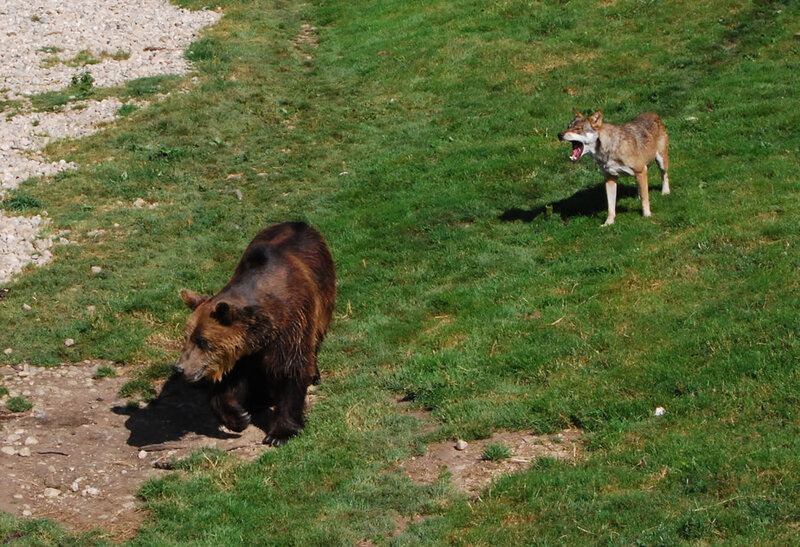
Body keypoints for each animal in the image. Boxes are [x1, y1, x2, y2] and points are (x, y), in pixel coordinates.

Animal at [173, 221, 336, 446]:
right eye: (186, 336)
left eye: (203, 341)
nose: (179, 368)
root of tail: (301, 223)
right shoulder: (243, 349)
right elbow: (233, 380)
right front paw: (239, 416)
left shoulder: (292, 323)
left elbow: (291, 370)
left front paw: (279, 433)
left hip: (324, 294)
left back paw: (313, 374)